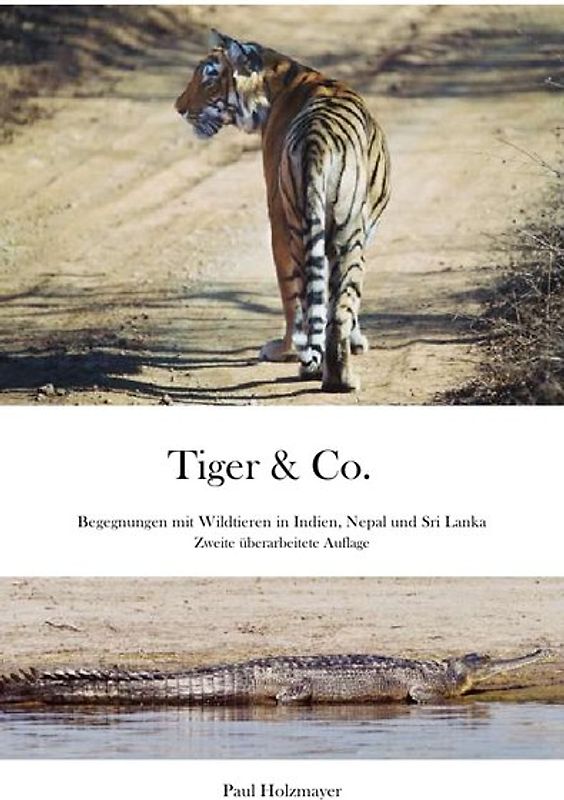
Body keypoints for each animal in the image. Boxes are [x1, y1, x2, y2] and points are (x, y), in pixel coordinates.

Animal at [175, 30, 390, 392]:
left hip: (302, 226)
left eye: (208, 79)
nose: (179, 108)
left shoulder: (276, 218)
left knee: (310, 301)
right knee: (338, 309)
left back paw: (312, 364)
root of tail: (317, 139)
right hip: (345, 233)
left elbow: (294, 299)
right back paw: (339, 377)